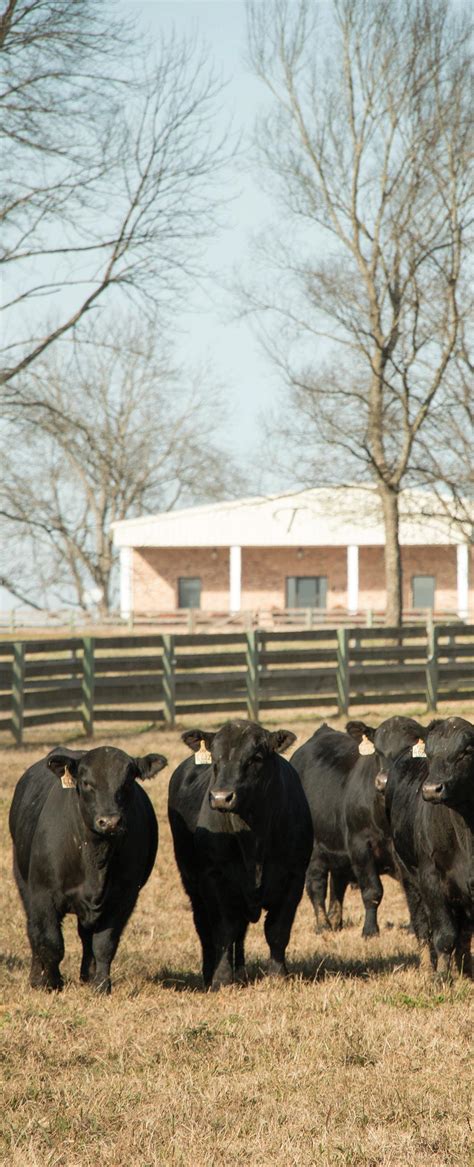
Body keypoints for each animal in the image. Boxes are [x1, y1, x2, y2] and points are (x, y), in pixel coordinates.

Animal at [9, 744, 167, 993]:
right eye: (86, 783)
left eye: (127, 782)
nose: (109, 821)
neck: (95, 857)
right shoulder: (42, 894)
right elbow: (51, 942)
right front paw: (51, 982)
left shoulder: (123, 898)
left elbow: (104, 944)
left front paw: (101, 985)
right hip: (23, 880)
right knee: (34, 930)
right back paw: (37, 977)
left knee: (86, 936)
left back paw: (87, 975)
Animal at [168, 719, 313, 990]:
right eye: (215, 757)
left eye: (256, 757)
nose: (221, 797)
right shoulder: (214, 877)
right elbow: (224, 930)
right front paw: (222, 980)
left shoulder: (294, 877)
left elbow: (278, 929)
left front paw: (278, 975)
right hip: (192, 883)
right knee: (205, 929)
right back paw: (210, 973)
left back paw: (241, 971)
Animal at [291, 717, 428, 937]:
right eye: (377, 751)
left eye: (408, 748)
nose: (383, 781)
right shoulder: (360, 846)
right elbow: (372, 890)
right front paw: (370, 930)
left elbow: (411, 890)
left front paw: (413, 929)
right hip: (313, 849)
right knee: (316, 885)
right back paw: (323, 925)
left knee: (337, 884)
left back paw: (336, 921)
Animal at [382, 716, 473, 978]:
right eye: (430, 754)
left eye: (465, 751)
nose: (432, 789)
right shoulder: (431, 879)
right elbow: (444, 935)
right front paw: (441, 976)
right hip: (410, 878)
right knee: (422, 926)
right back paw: (427, 966)